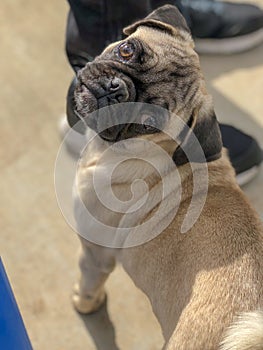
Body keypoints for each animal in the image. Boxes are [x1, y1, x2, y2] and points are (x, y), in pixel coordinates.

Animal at [70, 5, 263, 350]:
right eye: (126, 50)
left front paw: (85, 303)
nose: (114, 90)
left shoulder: (95, 253)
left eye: (148, 122)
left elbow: (89, 282)